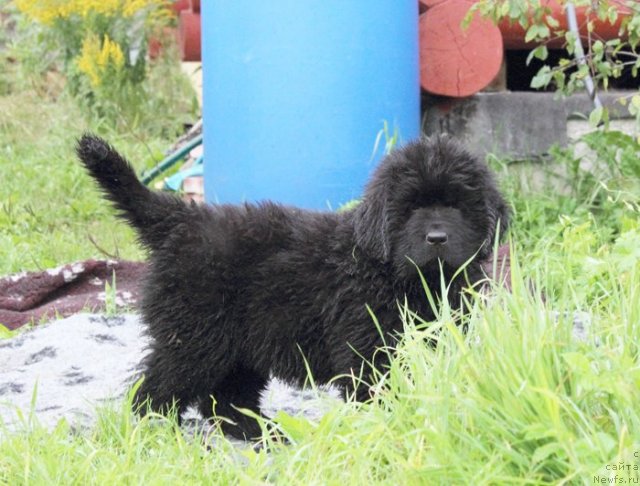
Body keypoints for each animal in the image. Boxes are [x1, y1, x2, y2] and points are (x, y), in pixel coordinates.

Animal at [76, 134, 510, 440]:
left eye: (456, 205)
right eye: (411, 208)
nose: (437, 238)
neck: (395, 273)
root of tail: (181, 219)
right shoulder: (368, 345)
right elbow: (379, 389)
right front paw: (388, 428)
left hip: (239, 345)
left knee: (225, 402)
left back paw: (265, 434)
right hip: (193, 336)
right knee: (158, 389)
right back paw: (153, 434)